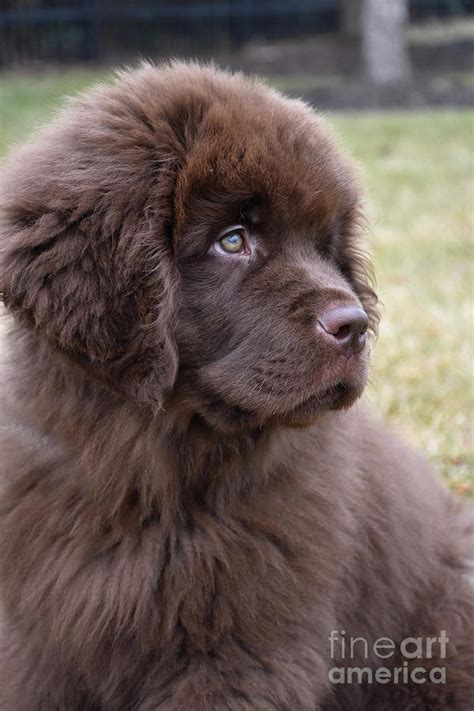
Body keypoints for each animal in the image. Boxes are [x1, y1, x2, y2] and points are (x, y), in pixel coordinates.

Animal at [0, 62, 472, 711]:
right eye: (232, 240)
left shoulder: (238, 657)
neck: (151, 483)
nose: (355, 326)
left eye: (325, 246)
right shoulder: (35, 648)